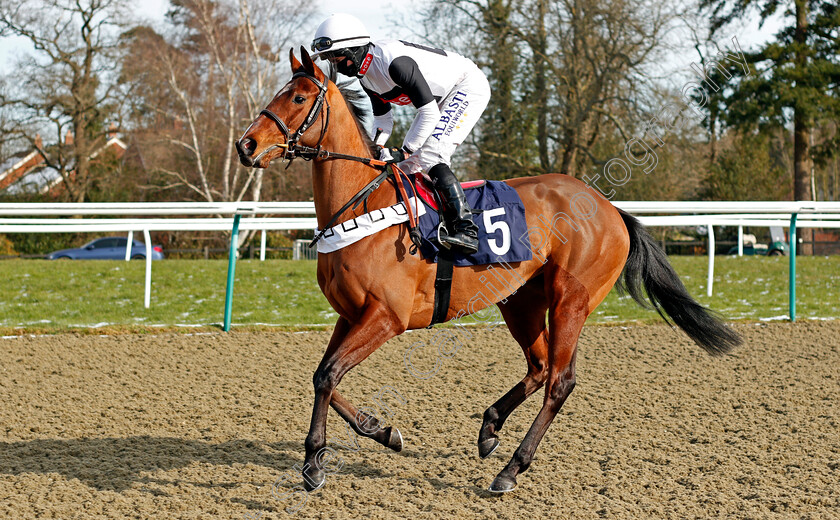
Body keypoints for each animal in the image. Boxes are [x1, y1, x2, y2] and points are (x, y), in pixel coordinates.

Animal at [233, 46, 740, 494]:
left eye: (299, 97)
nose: (246, 145)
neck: (362, 203)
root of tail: (610, 208)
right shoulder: (351, 315)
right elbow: (324, 375)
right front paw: (381, 430)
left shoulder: (386, 317)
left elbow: (327, 376)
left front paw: (314, 464)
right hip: (522, 301)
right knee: (540, 367)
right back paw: (489, 428)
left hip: (571, 299)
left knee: (560, 381)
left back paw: (511, 470)